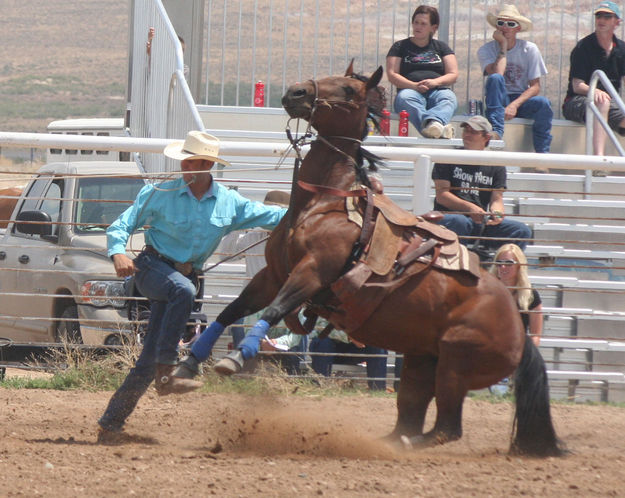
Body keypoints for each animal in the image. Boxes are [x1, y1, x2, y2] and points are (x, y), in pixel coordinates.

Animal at [178, 64, 564, 458]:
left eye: (349, 89)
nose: (296, 92)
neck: (324, 203)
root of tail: (520, 333)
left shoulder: (312, 273)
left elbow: (273, 310)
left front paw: (235, 358)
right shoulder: (273, 274)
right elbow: (233, 310)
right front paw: (187, 366)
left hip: (455, 364)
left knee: (445, 428)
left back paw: (397, 446)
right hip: (421, 360)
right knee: (410, 413)